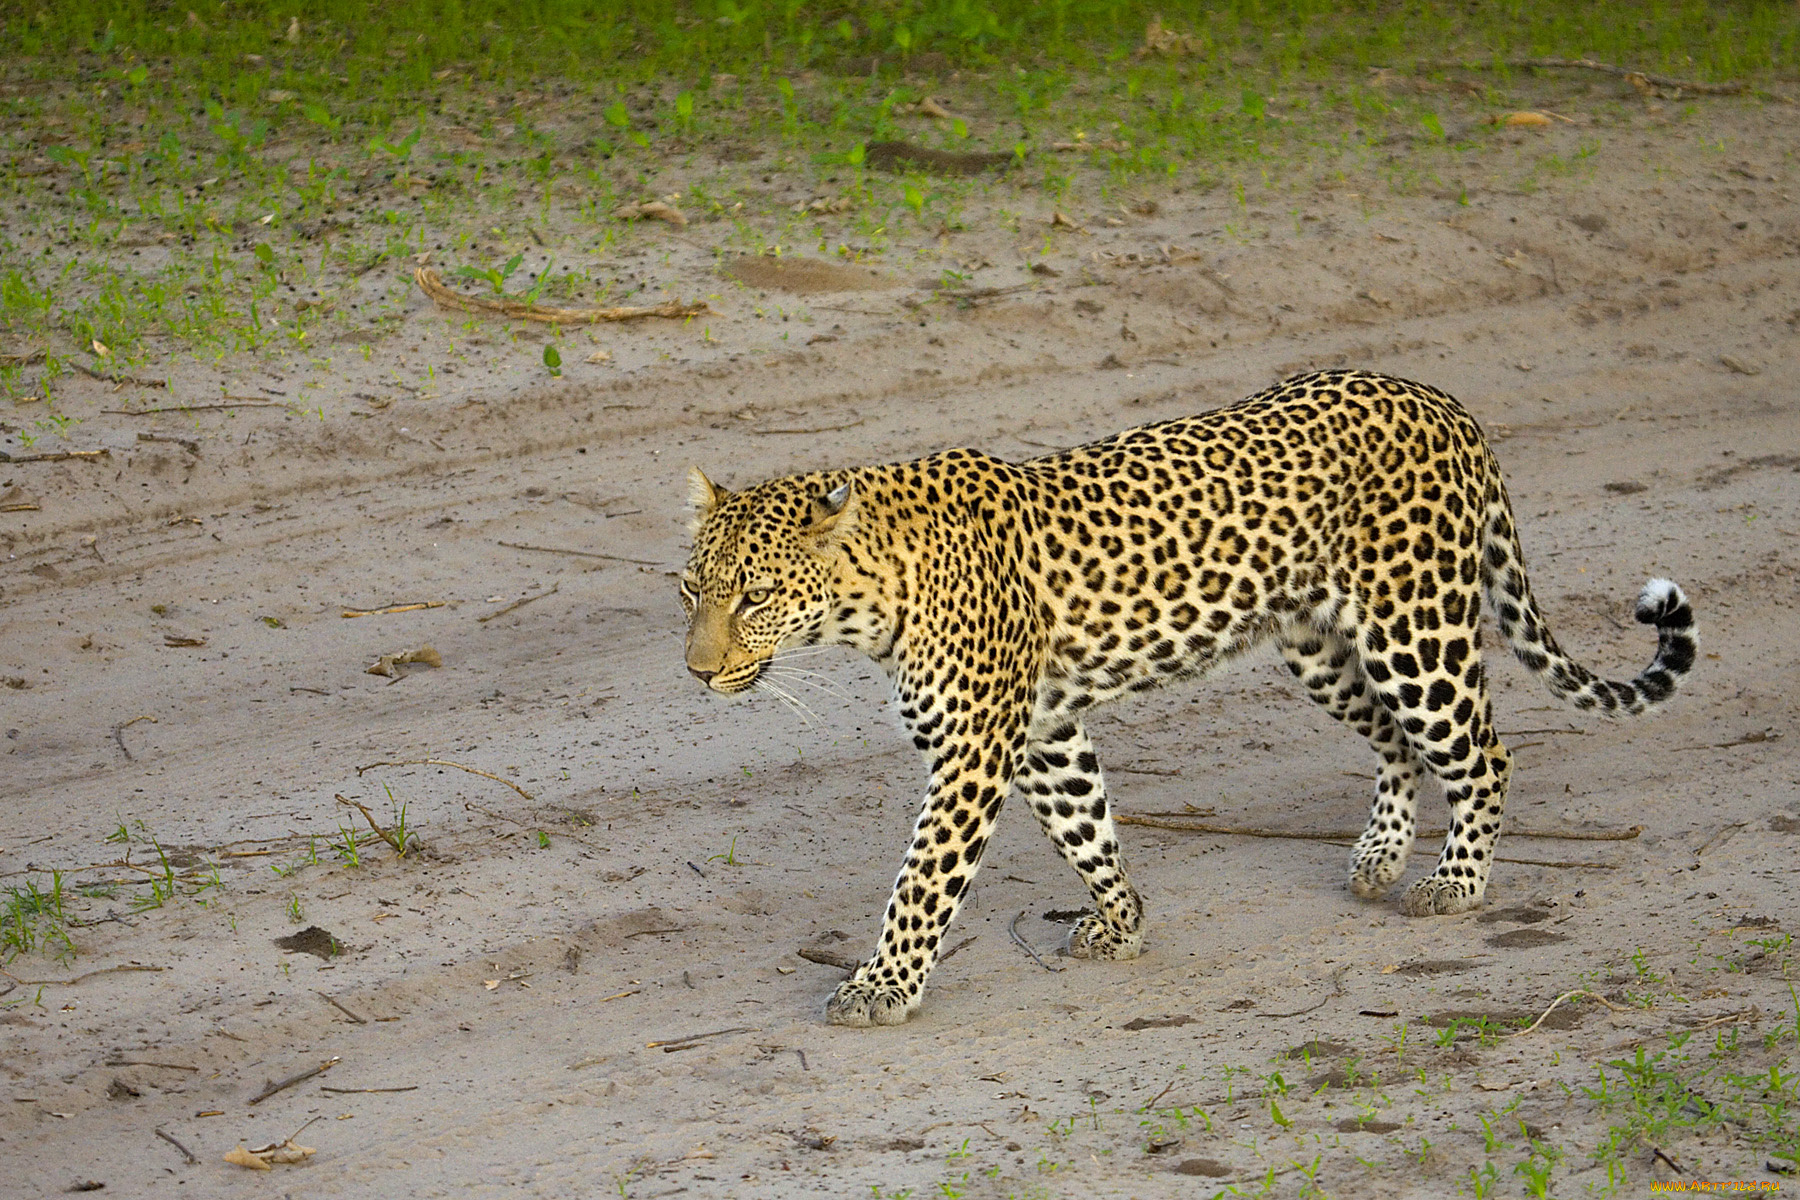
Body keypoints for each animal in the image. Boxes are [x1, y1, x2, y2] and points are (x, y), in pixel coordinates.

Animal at [676, 370, 1699, 1029]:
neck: (873, 600)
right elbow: (1085, 824)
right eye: (692, 592)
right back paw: (1379, 857)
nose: (697, 672)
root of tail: (1442, 401)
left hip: (1417, 631)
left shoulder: (974, 749)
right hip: (1320, 649)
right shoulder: (1043, 728)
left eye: (753, 597)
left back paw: (1455, 883)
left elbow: (922, 880)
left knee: (1483, 752)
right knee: (1397, 744)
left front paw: (881, 986)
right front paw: (1121, 919)